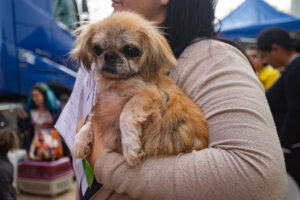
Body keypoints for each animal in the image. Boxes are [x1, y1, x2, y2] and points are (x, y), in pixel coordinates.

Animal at [70, 11, 209, 166]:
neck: (120, 82)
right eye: (98, 49)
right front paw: (80, 141)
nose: (109, 55)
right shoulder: (100, 105)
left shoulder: (148, 96)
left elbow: (125, 114)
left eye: (131, 50)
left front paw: (130, 147)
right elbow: (90, 118)